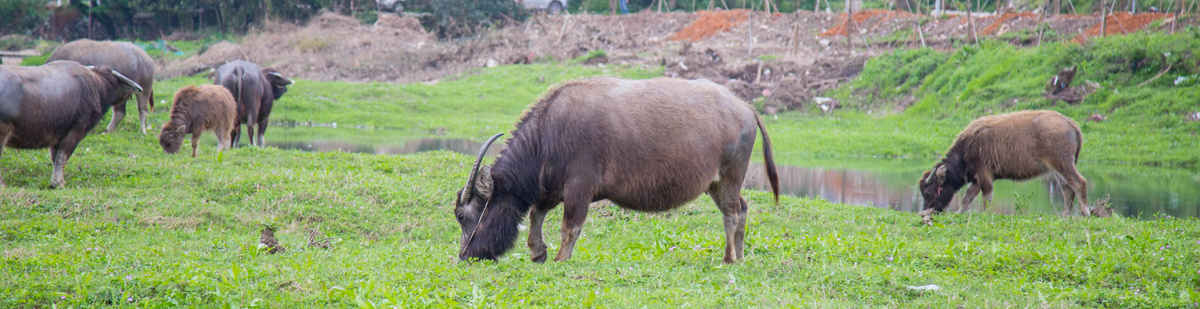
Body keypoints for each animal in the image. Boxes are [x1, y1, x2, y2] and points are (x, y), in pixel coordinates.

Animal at [0, 60, 143, 185]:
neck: (96, 86)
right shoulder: (75, 132)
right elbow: (63, 156)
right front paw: (58, 183)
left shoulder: (57, 137)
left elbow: (55, 158)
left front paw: (57, 180)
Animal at [453, 76, 782, 263]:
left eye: (463, 216)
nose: (465, 256)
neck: (549, 134)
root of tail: (745, 107)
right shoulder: (552, 187)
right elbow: (536, 213)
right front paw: (537, 252)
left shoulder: (579, 188)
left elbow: (569, 227)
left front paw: (559, 259)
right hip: (714, 183)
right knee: (742, 207)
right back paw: (740, 256)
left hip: (731, 175)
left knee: (731, 213)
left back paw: (728, 258)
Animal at [916, 109, 1089, 217]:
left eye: (927, 192)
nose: (924, 212)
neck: (966, 148)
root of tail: (1071, 124)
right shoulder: (976, 179)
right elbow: (968, 197)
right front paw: (960, 213)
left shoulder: (984, 175)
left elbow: (986, 197)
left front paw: (985, 214)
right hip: (1058, 170)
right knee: (1067, 189)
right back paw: (1066, 214)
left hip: (1063, 165)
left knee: (1079, 182)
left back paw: (1085, 212)